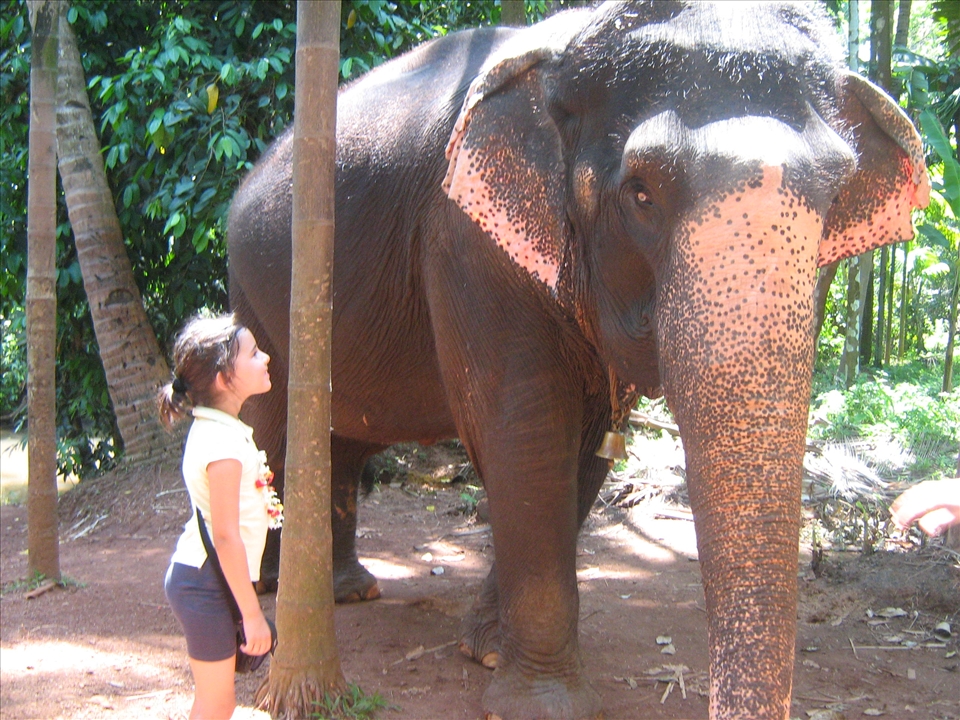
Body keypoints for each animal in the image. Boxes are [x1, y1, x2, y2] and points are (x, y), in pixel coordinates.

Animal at [227, 2, 928, 718]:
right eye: (641, 193)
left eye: (836, 198)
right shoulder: (463, 238)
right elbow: (527, 429)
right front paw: (539, 702)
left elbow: (585, 448)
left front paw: (487, 648)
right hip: (257, 302)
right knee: (267, 428)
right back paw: (263, 597)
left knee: (337, 440)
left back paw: (349, 590)